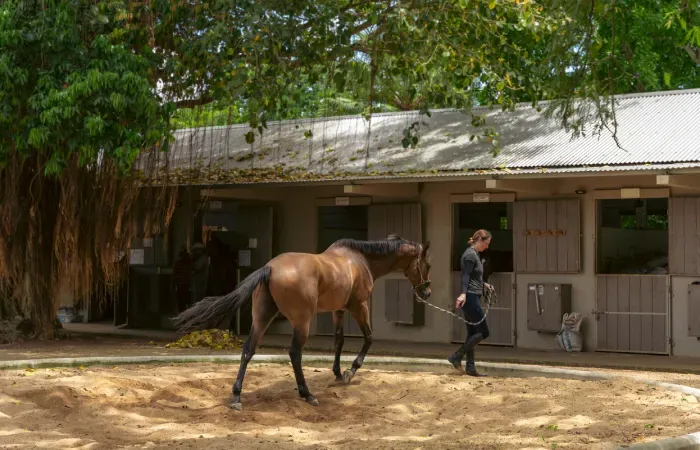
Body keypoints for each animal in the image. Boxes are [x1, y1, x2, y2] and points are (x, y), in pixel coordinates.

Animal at [172, 234, 432, 411]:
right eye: (427, 265)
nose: (426, 292)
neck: (359, 261)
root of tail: (270, 268)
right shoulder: (359, 307)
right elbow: (368, 338)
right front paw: (350, 371)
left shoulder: (338, 311)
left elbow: (339, 341)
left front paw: (338, 373)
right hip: (302, 322)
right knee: (295, 354)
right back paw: (307, 394)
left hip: (262, 318)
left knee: (248, 351)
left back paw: (237, 397)